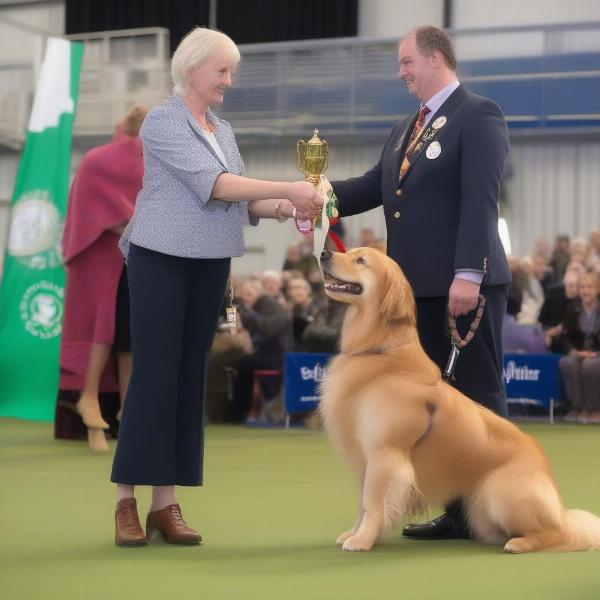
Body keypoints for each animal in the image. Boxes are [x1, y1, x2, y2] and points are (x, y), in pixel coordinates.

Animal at [318, 247, 600, 552]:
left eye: (361, 260)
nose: (324, 252)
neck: (383, 352)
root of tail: (559, 509)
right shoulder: (367, 456)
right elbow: (362, 503)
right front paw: (355, 533)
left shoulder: (385, 453)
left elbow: (372, 503)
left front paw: (362, 539)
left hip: (498, 491)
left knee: (555, 534)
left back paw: (519, 543)